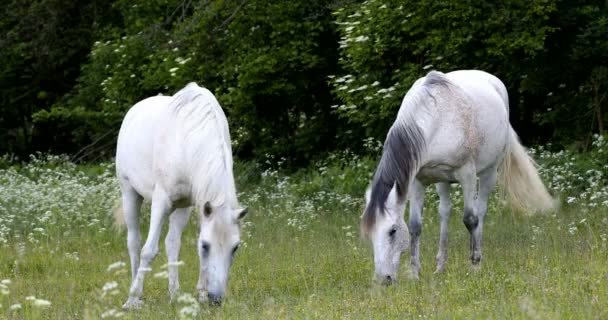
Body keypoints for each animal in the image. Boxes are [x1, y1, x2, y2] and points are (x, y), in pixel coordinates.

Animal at [114, 83, 247, 310]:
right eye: (206, 246)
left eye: (235, 247)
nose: (215, 299)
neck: (188, 139)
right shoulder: (161, 201)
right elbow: (148, 250)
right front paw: (132, 298)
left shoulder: (194, 203)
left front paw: (200, 294)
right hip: (130, 194)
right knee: (134, 242)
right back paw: (135, 296)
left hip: (181, 207)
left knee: (172, 243)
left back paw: (174, 293)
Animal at [360, 70, 556, 284]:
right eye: (370, 234)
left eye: (392, 231)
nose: (383, 279)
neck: (436, 119)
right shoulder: (418, 181)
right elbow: (415, 226)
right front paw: (415, 272)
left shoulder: (467, 174)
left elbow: (470, 219)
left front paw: (475, 264)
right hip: (442, 181)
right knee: (445, 212)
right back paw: (441, 266)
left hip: (488, 173)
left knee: (480, 212)